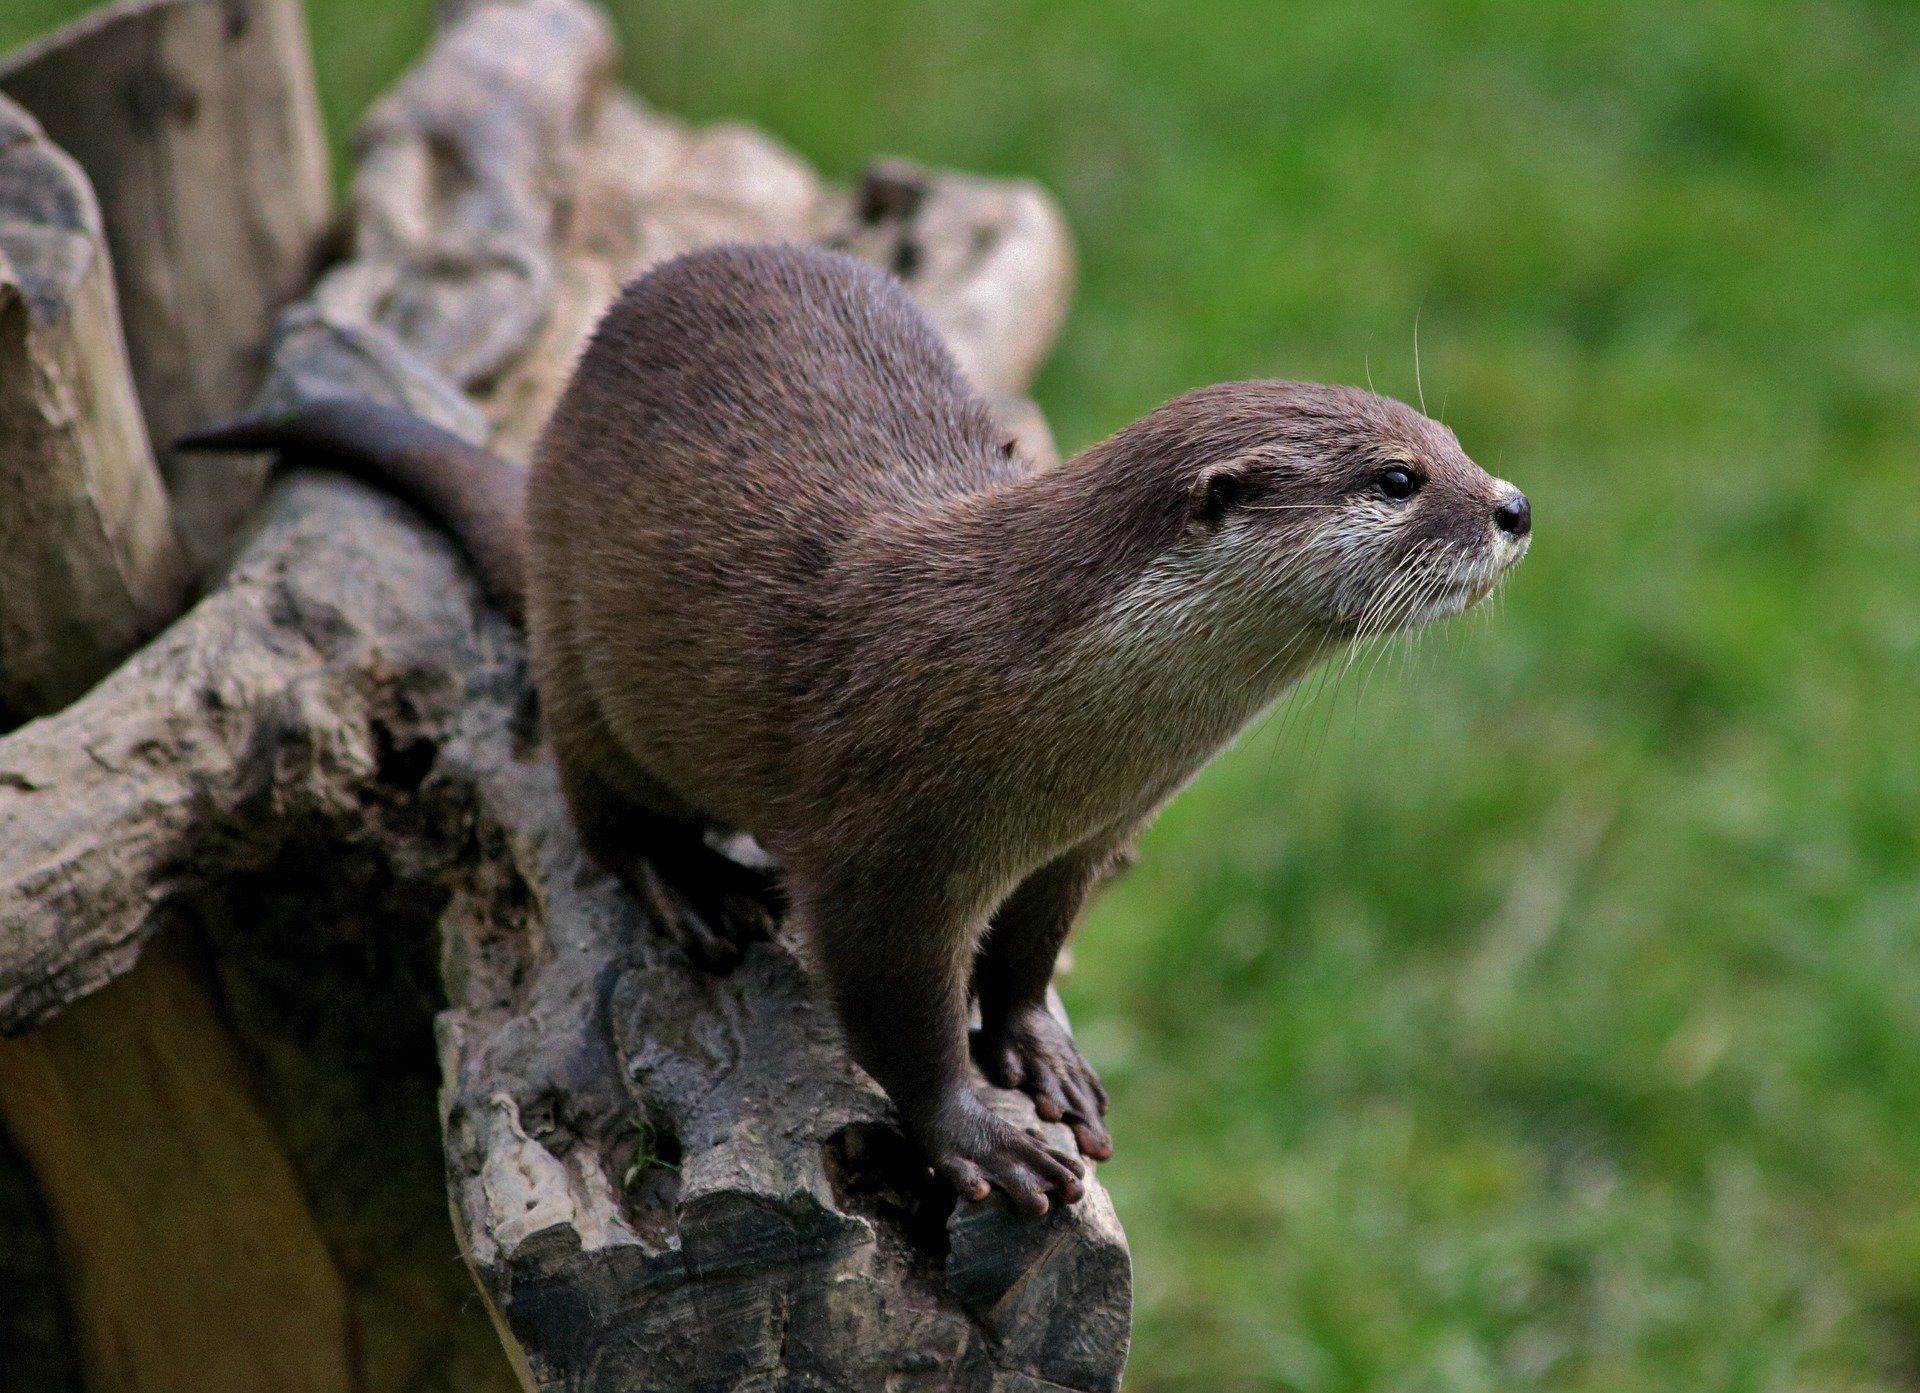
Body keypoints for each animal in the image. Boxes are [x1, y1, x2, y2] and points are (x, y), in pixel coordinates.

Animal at [182, 242, 1530, 1215]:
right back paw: (692, 889)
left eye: (1454, 441)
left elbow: (1031, 951)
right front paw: (977, 1135)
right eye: (1398, 479)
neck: (1050, 706)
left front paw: (1035, 1050)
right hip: (581, 655)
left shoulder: (1086, 837)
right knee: (601, 813)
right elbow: (896, 1009)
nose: (1513, 505)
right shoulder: (886, 845)